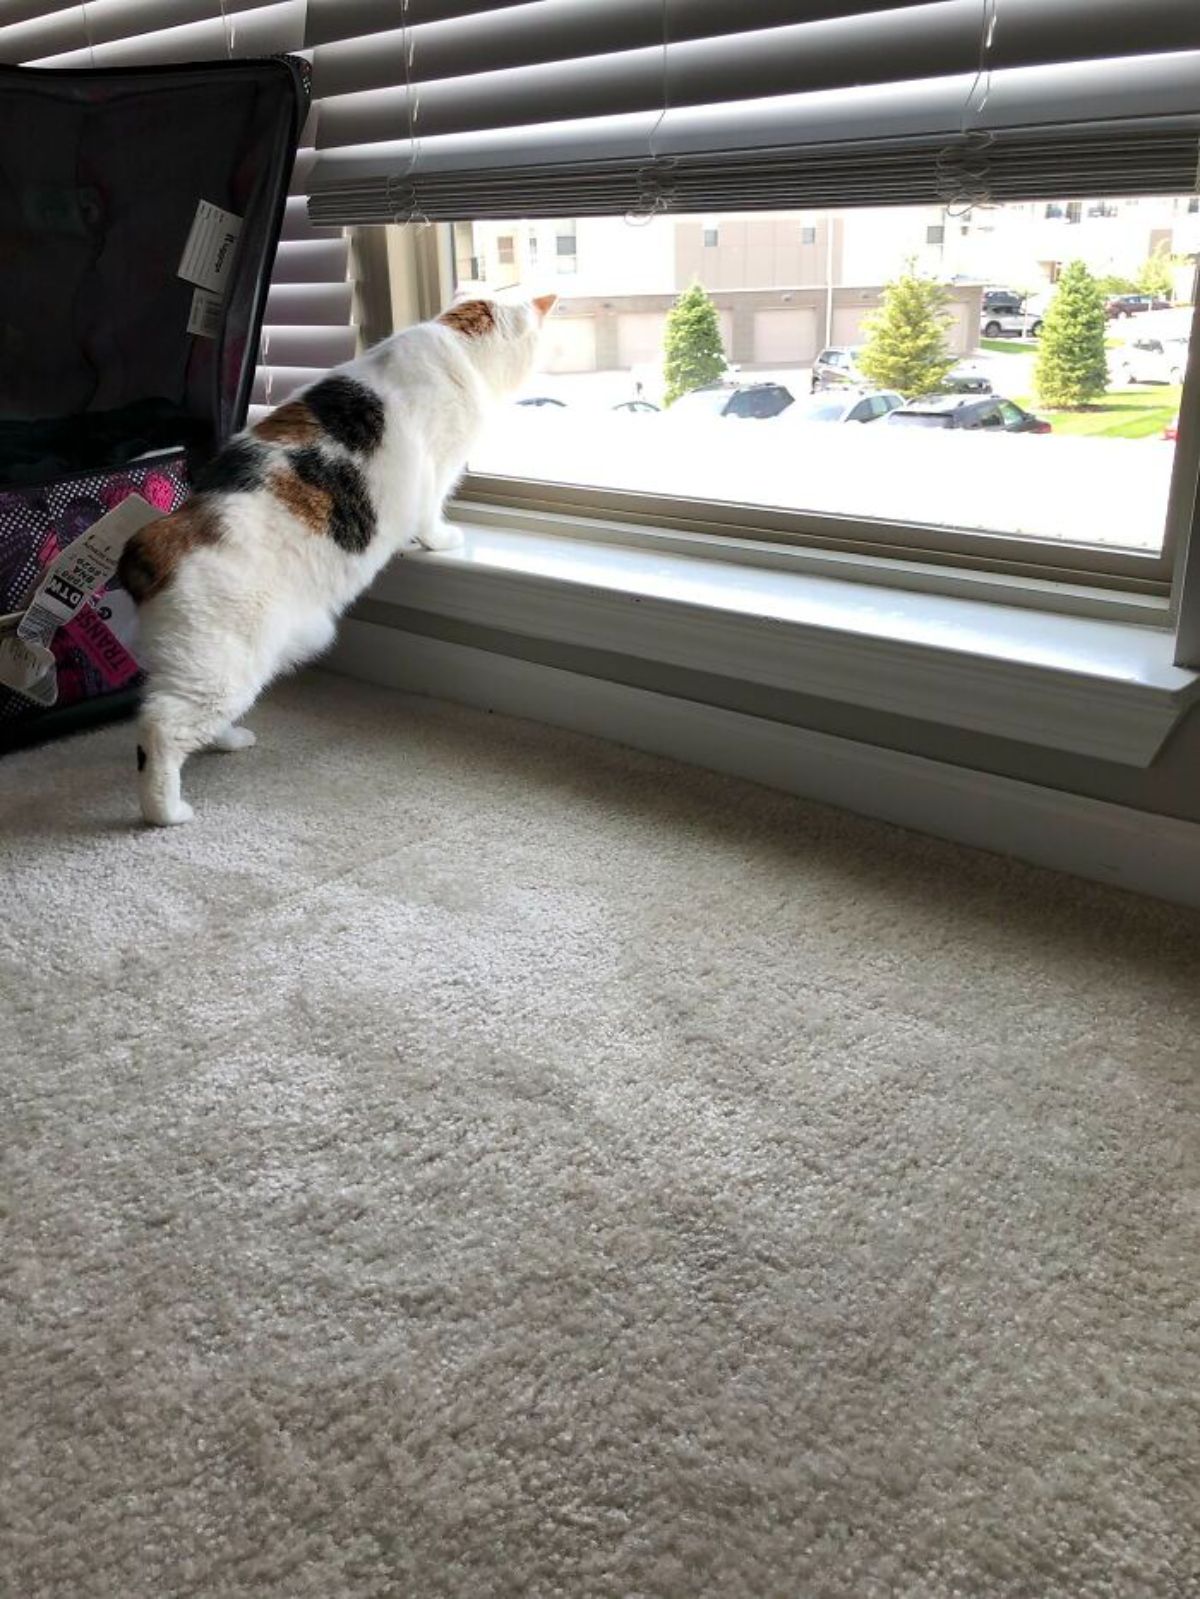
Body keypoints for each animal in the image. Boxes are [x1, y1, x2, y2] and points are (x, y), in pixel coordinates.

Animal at [120, 292, 556, 831]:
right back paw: (167, 811)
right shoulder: (436, 471)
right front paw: (443, 540)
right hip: (220, 669)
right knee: (160, 729)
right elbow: (431, 514)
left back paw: (231, 741)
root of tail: (156, 539)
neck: (453, 339)